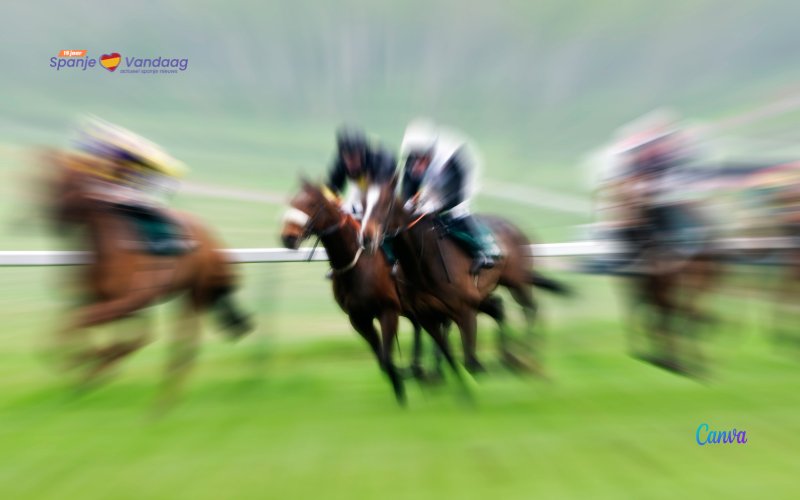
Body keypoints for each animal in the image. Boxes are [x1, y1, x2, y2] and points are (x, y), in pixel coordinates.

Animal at [43, 149, 253, 402]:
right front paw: (83, 366)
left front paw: (79, 363)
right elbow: (79, 323)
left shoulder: (128, 300)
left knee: (186, 342)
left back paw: (165, 398)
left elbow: (86, 326)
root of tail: (215, 240)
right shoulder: (104, 299)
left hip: (196, 292)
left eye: (67, 183)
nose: (53, 217)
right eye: (48, 181)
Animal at [282, 180, 466, 402]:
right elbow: (382, 361)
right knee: (423, 327)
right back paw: (423, 371)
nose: (287, 237)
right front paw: (400, 383)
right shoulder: (359, 318)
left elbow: (386, 357)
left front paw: (402, 386)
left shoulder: (388, 311)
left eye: (311, 204)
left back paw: (435, 372)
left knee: (441, 326)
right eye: (292, 201)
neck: (358, 264)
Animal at [362, 176, 568, 376]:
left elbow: (468, 358)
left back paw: (527, 353)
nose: (367, 237)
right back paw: (510, 357)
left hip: (517, 282)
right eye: (362, 204)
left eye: (386, 204)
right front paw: (426, 370)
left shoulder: (463, 308)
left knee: (529, 308)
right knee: (500, 308)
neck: (426, 260)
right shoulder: (427, 311)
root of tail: (517, 228)